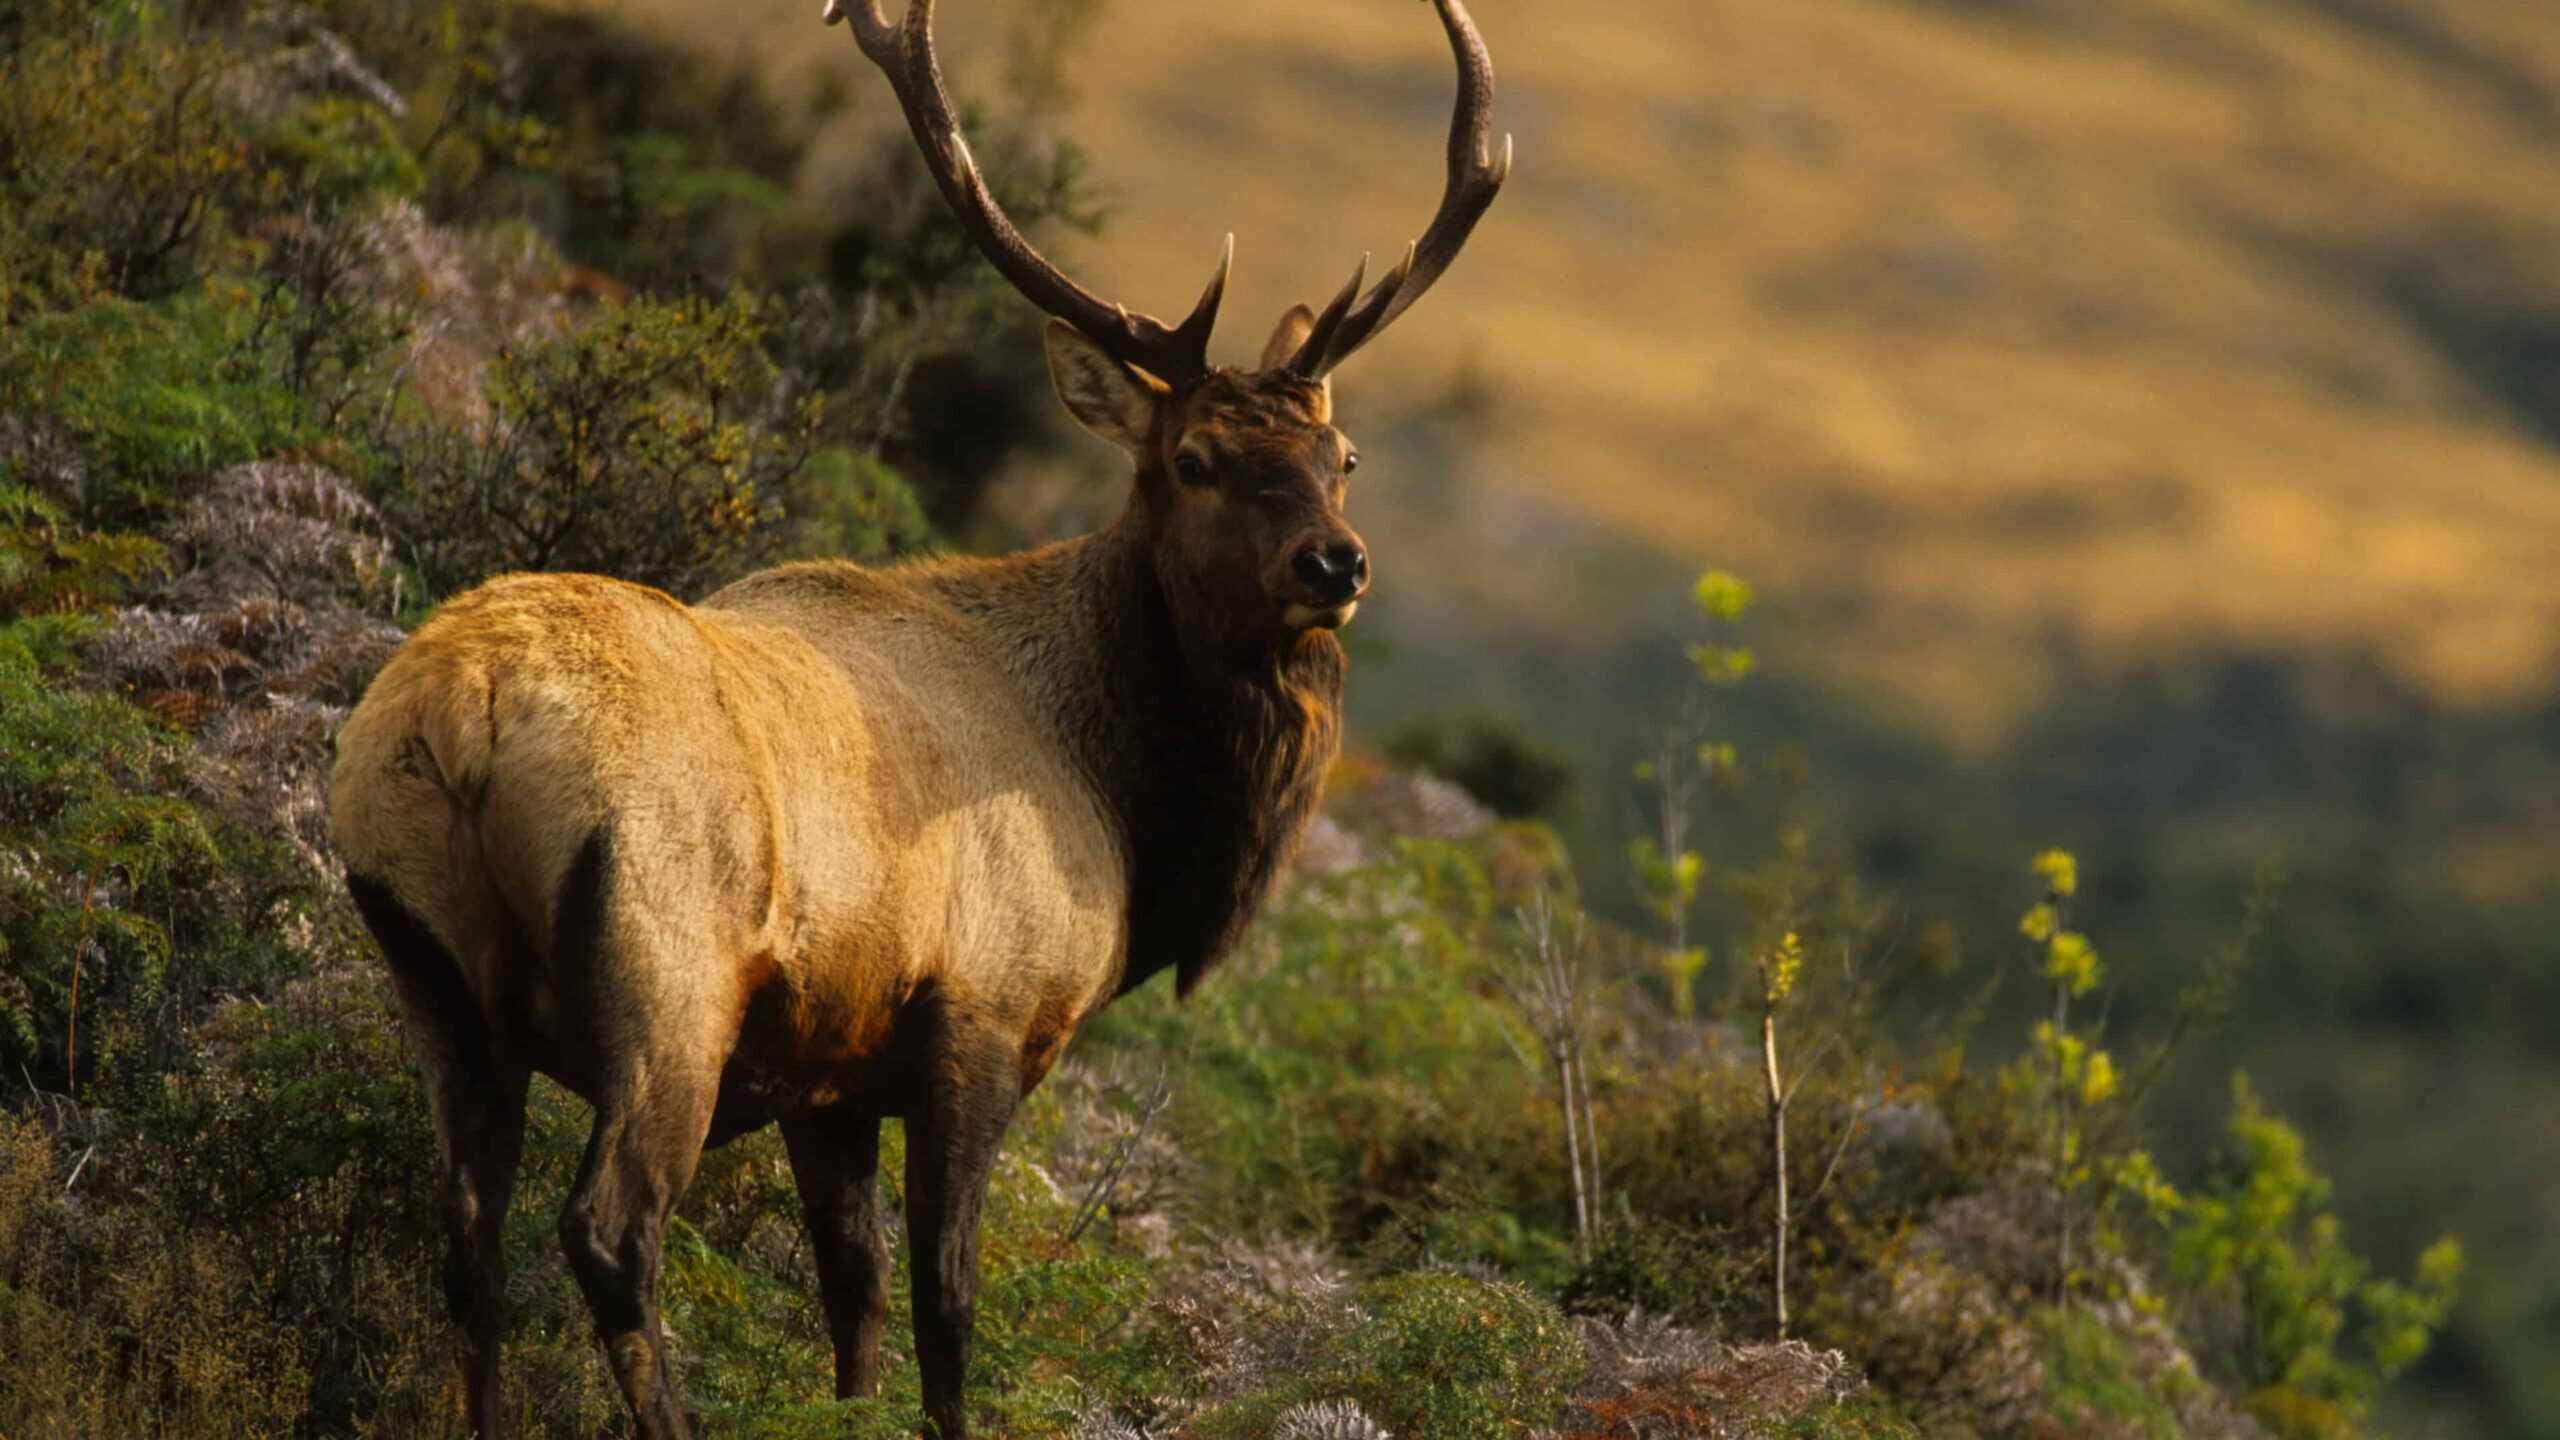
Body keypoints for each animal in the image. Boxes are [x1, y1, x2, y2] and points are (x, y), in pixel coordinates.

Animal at [325, 1, 1507, 1435]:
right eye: (1195, 460)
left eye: (1340, 458)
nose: (1335, 562)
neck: (1124, 798)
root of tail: (462, 718)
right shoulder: (980, 1013)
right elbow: (947, 1307)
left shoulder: (826, 1068)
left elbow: (858, 1296)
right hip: (666, 971)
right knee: (609, 1231)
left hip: (429, 967)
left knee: (467, 1243)